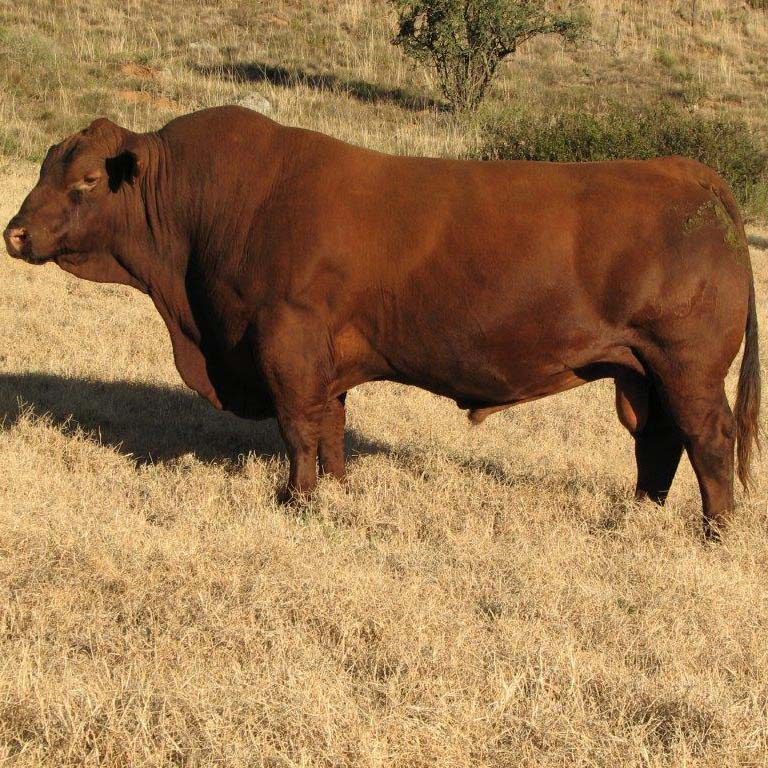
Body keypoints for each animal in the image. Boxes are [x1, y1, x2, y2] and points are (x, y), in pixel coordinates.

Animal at [4, 106, 760, 538]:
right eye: (43, 168)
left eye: (86, 182)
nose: (15, 234)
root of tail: (686, 172)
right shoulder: (325, 357)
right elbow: (331, 427)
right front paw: (336, 492)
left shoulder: (286, 341)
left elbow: (299, 428)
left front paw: (297, 501)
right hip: (640, 370)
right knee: (657, 440)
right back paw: (639, 514)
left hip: (687, 364)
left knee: (708, 438)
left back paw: (717, 533)